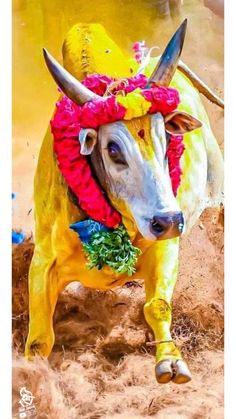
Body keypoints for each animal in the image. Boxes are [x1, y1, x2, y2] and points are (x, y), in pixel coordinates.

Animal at [25, 21, 223, 386]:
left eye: (167, 139)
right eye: (113, 149)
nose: (168, 220)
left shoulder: (166, 246)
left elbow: (157, 306)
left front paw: (171, 362)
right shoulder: (42, 262)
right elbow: (39, 340)